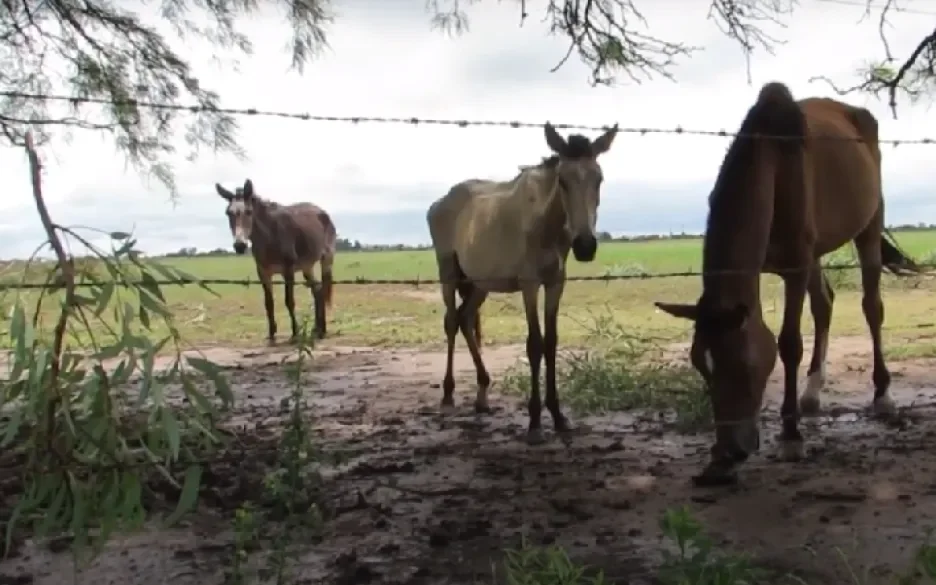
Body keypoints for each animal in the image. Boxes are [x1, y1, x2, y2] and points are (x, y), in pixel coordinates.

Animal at [218, 178, 338, 342]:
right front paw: (271, 334)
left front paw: (295, 333)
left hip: (326, 259)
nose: (239, 246)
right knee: (318, 290)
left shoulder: (288, 270)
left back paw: (321, 330)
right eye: (228, 213)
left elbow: (289, 301)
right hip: (307, 266)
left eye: (248, 212)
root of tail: (322, 211)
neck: (269, 236)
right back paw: (317, 329)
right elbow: (269, 303)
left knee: (323, 289)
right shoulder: (263, 272)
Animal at [426, 122, 616, 442]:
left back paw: (482, 395)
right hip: (448, 272)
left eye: (599, 179)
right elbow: (534, 344)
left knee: (465, 319)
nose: (585, 246)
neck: (546, 223)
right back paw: (449, 394)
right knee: (451, 322)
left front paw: (558, 415)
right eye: (563, 181)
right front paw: (535, 421)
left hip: (480, 283)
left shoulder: (555, 283)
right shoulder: (529, 283)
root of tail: (439, 203)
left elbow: (551, 342)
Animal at [652, 81, 920, 484]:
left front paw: (791, 437)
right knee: (824, 303)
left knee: (871, 307)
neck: (772, 162)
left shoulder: (795, 266)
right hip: (816, 253)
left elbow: (789, 343)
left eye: (743, 366)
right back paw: (811, 393)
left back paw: (882, 396)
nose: (729, 453)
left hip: (868, 228)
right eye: (700, 365)